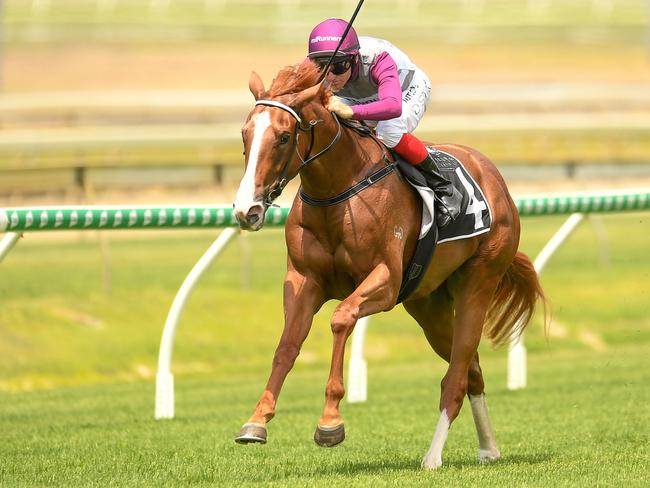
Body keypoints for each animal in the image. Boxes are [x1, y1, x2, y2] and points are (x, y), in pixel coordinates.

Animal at [232, 63, 540, 468]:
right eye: (245, 134)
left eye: (283, 137)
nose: (246, 210)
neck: (338, 190)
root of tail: (492, 174)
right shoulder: (302, 280)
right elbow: (287, 344)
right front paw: (256, 420)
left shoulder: (386, 280)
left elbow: (341, 318)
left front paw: (330, 421)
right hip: (428, 305)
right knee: (472, 370)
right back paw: (488, 449)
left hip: (479, 282)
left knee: (456, 376)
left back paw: (432, 458)